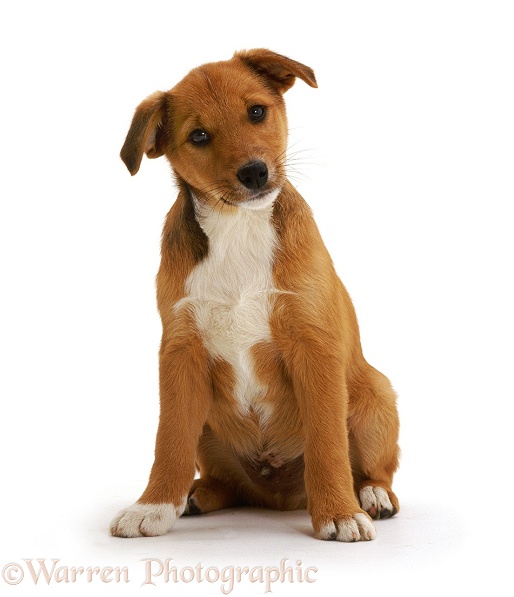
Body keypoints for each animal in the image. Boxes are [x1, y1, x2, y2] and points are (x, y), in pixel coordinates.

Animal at [110, 50, 398, 540]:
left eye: (257, 112)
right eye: (199, 136)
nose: (254, 172)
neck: (237, 227)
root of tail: (277, 495)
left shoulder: (313, 346)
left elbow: (327, 443)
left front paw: (339, 512)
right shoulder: (181, 350)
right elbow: (170, 439)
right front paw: (153, 506)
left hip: (377, 397)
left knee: (374, 468)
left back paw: (371, 495)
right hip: (210, 429)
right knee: (224, 478)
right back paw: (197, 494)